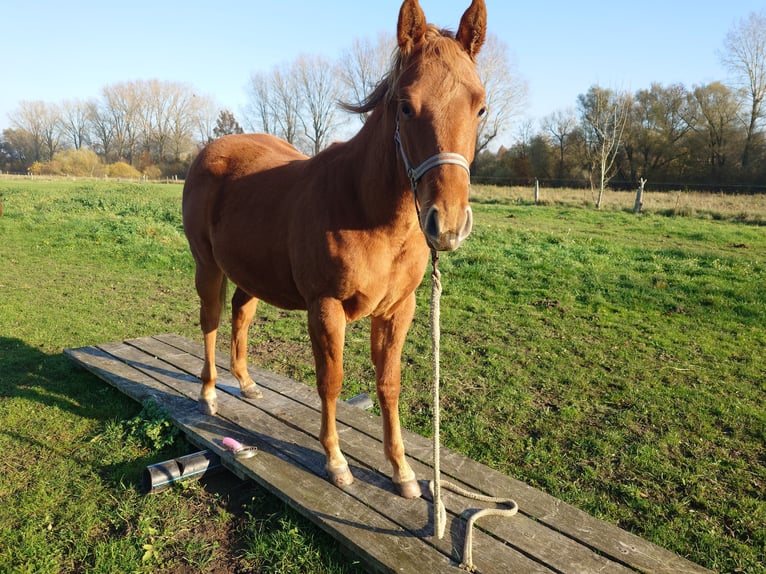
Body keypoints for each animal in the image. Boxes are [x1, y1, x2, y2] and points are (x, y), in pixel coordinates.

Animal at [182, 0, 487, 498]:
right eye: (406, 106)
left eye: (480, 107)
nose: (448, 225)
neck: (365, 210)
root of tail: (214, 150)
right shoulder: (325, 308)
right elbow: (331, 382)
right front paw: (336, 462)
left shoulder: (398, 310)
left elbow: (389, 384)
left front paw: (401, 471)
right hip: (208, 267)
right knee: (210, 322)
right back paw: (208, 393)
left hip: (251, 272)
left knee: (241, 314)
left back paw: (246, 384)